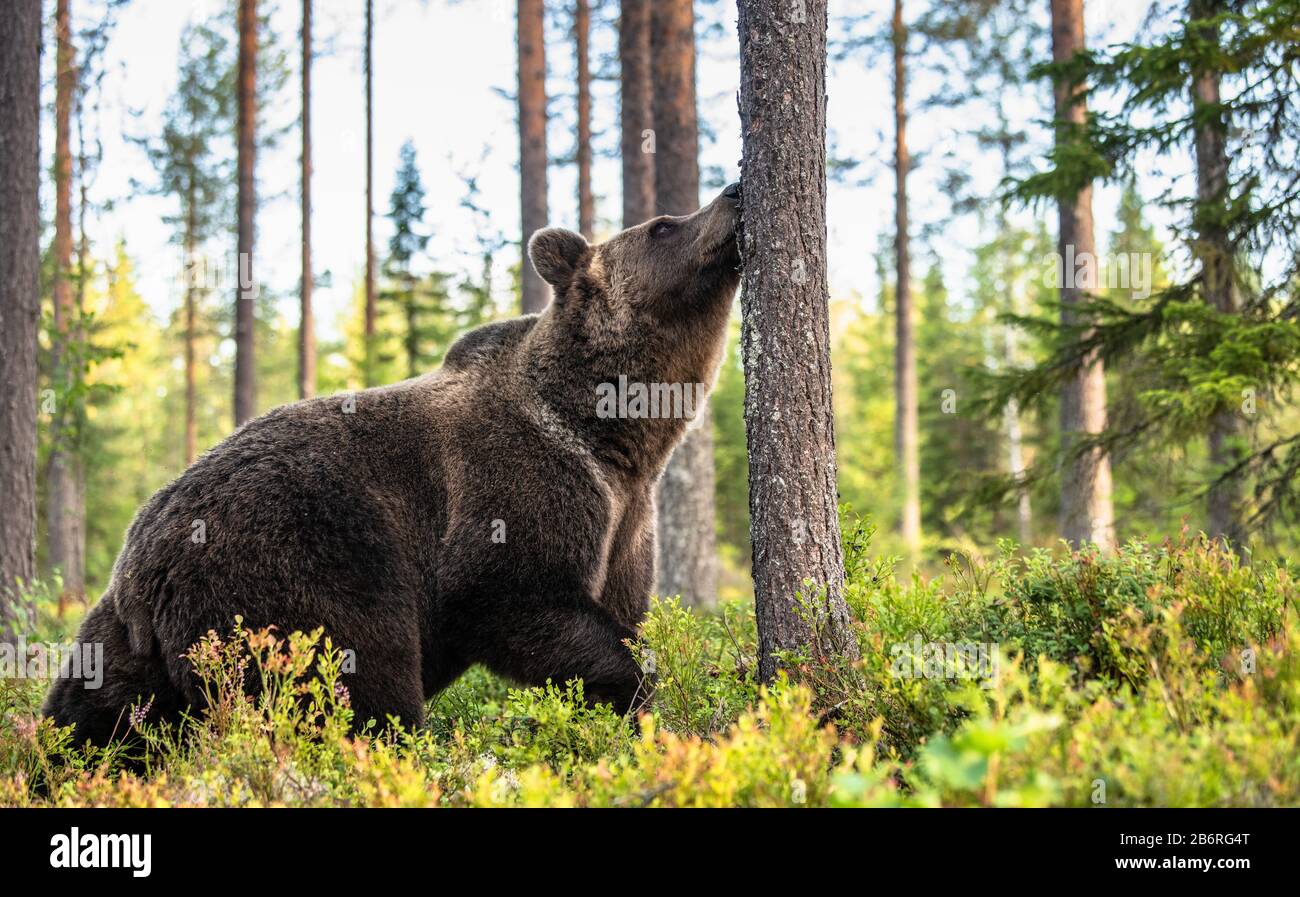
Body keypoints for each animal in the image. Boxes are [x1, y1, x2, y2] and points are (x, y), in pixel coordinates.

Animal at [43, 179, 743, 738]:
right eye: (662, 225)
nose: (734, 191)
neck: (613, 435)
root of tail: (145, 568)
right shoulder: (521, 486)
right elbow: (520, 595)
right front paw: (643, 695)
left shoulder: (625, 518)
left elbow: (624, 609)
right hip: (301, 569)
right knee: (359, 680)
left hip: (121, 639)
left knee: (91, 711)